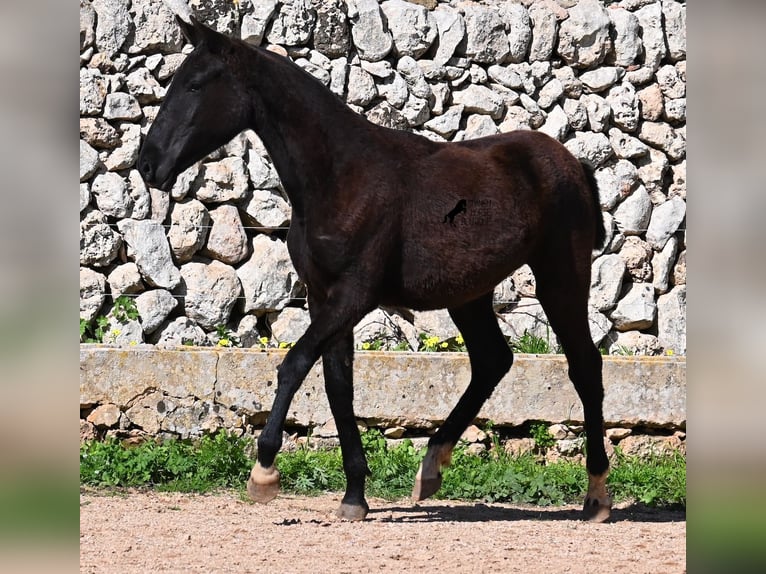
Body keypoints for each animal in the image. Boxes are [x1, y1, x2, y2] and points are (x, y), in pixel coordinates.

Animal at [140, 15, 612, 524]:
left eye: (194, 84)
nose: (148, 165)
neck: (341, 178)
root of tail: (573, 164)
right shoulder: (324, 299)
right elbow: (337, 386)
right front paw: (353, 496)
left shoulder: (355, 295)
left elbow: (294, 364)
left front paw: (264, 472)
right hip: (469, 294)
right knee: (493, 361)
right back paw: (431, 468)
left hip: (561, 277)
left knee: (584, 365)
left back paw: (597, 496)